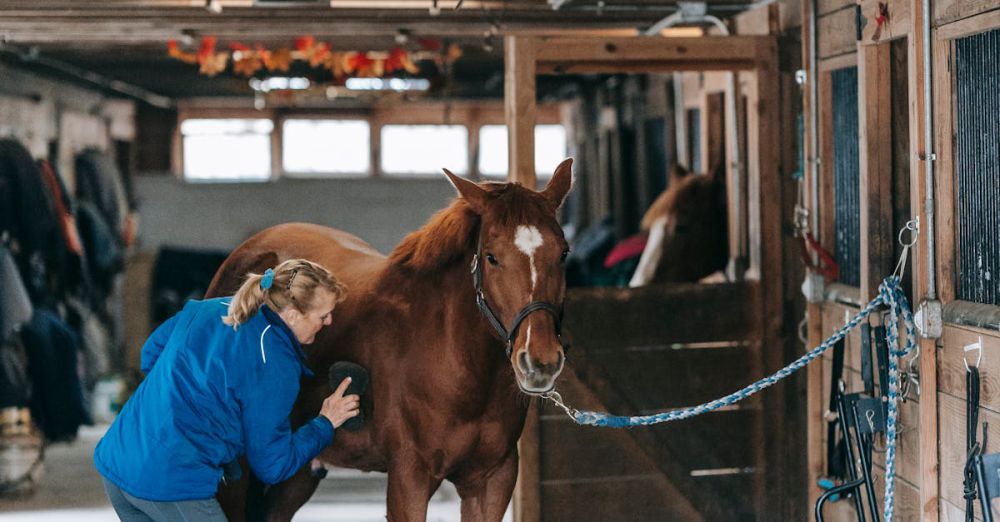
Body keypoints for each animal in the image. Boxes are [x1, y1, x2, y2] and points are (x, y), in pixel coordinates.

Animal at [207, 160, 576, 516]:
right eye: (492, 257)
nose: (540, 361)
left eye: (563, 254)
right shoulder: (408, 478)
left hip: (298, 473)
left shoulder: (492, 482)